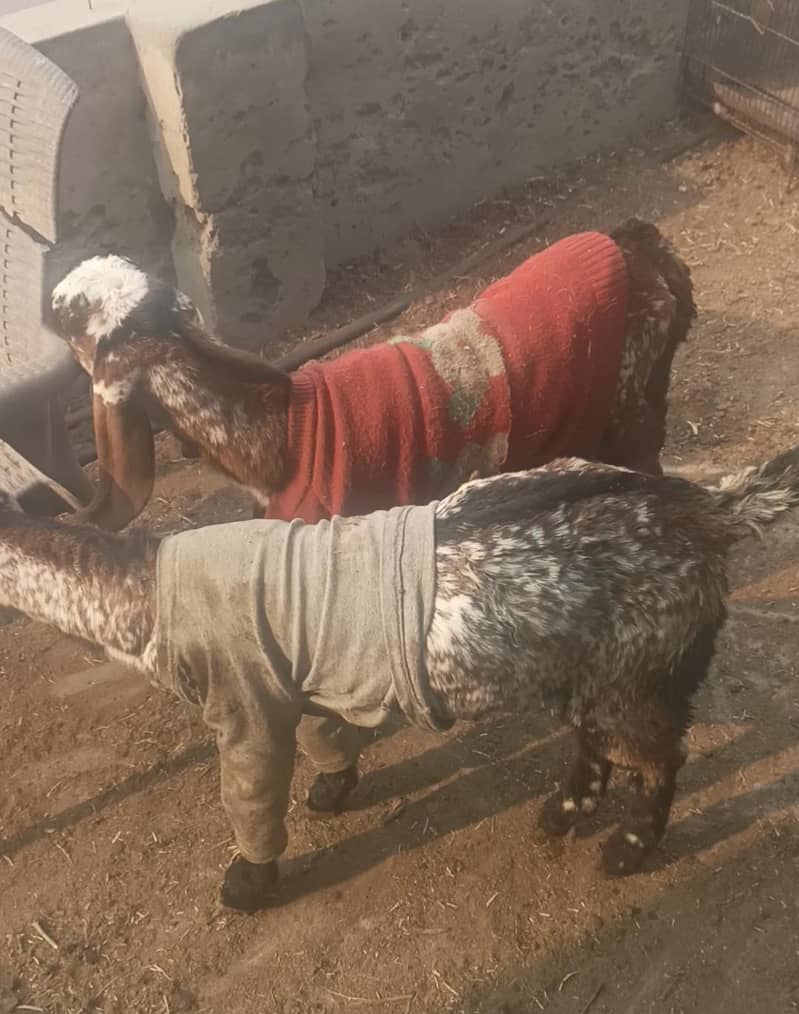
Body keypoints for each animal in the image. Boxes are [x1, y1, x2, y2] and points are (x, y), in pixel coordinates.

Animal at [0, 451, 797, 912]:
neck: (142, 588)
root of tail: (708, 510)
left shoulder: (243, 702)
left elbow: (251, 797)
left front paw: (247, 885)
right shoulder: (298, 677)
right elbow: (325, 736)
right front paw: (333, 790)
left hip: (639, 669)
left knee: (658, 758)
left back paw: (627, 850)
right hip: (585, 667)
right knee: (595, 744)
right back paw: (562, 811)